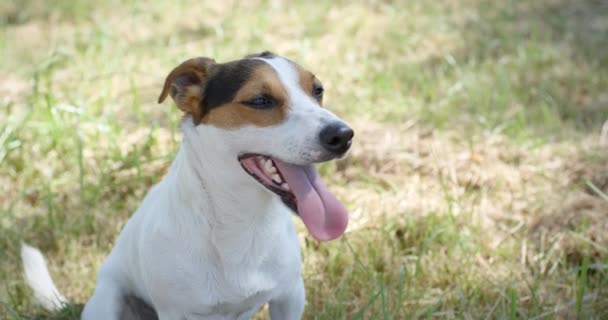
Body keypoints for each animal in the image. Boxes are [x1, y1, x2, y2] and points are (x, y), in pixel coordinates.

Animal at [21, 51, 354, 318]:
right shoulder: (177, 312)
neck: (242, 221)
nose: (343, 135)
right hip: (109, 300)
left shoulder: (290, 296)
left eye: (318, 90)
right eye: (260, 101)